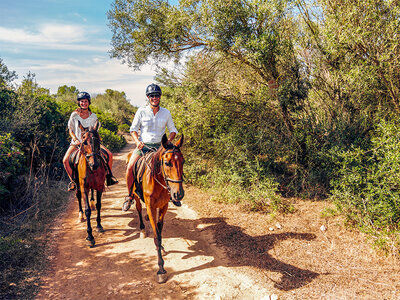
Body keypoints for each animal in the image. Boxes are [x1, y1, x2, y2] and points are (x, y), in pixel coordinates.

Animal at [130, 134, 185, 284]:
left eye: (183, 161)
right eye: (167, 163)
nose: (178, 194)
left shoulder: (163, 206)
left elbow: (159, 231)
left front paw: (161, 248)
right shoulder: (150, 207)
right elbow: (156, 236)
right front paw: (161, 269)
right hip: (136, 196)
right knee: (138, 209)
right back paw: (142, 229)